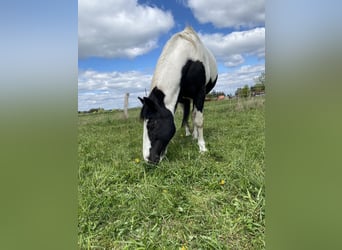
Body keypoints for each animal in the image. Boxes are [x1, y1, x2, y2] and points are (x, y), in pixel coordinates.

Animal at [138, 26, 216, 164]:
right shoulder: (177, 98)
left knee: (194, 115)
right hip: (185, 99)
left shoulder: (200, 93)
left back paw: (195, 136)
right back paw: (191, 134)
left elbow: (198, 120)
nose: (148, 159)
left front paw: (202, 147)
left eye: (152, 124)